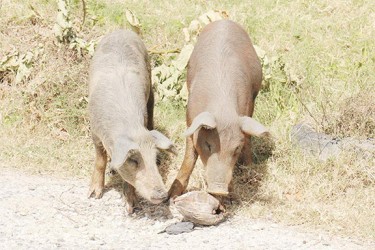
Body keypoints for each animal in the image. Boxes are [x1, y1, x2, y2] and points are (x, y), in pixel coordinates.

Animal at [89, 29, 176, 213]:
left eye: (154, 158)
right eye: (133, 160)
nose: (163, 195)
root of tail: (122, 30)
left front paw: (131, 207)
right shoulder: (94, 130)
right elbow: (100, 159)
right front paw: (94, 195)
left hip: (150, 90)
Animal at [169, 19, 268, 199]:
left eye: (236, 149)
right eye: (208, 145)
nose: (219, 189)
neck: (223, 111)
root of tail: (225, 20)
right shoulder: (190, 118)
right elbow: (189, 156)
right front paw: (171, 197)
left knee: (249, 138)